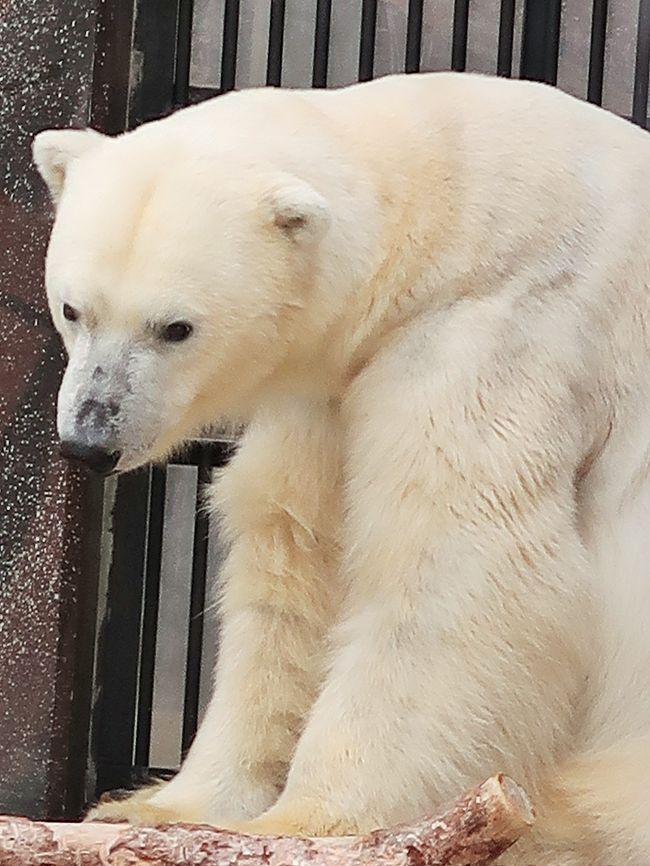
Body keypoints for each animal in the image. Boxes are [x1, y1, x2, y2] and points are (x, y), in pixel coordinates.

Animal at [33, 74, 648, 864]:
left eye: (176, 327)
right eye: (73, 309)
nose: (91, 441)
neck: (456, 204)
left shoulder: (501, 330)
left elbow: (457, 562)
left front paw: (303, 824)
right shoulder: (330, 383)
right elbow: (295, 553)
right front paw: (158, 807)